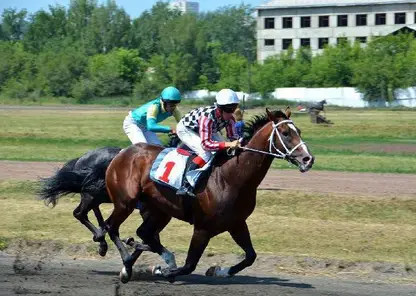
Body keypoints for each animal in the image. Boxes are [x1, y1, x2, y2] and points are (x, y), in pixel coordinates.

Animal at [104, 107, 316, 284]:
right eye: (286, 133)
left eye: (299, 131)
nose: (308, 159)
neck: (230, 177)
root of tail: (123, 152)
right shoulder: (202, 228)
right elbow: (189, 265)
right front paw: (162, 271)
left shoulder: (237, 223)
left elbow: (250, 256)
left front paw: (218, 271)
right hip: (125, 202)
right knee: (111, 227)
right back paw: (128, 264)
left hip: (160, 210)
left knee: (145, 233)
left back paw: (137, 262)